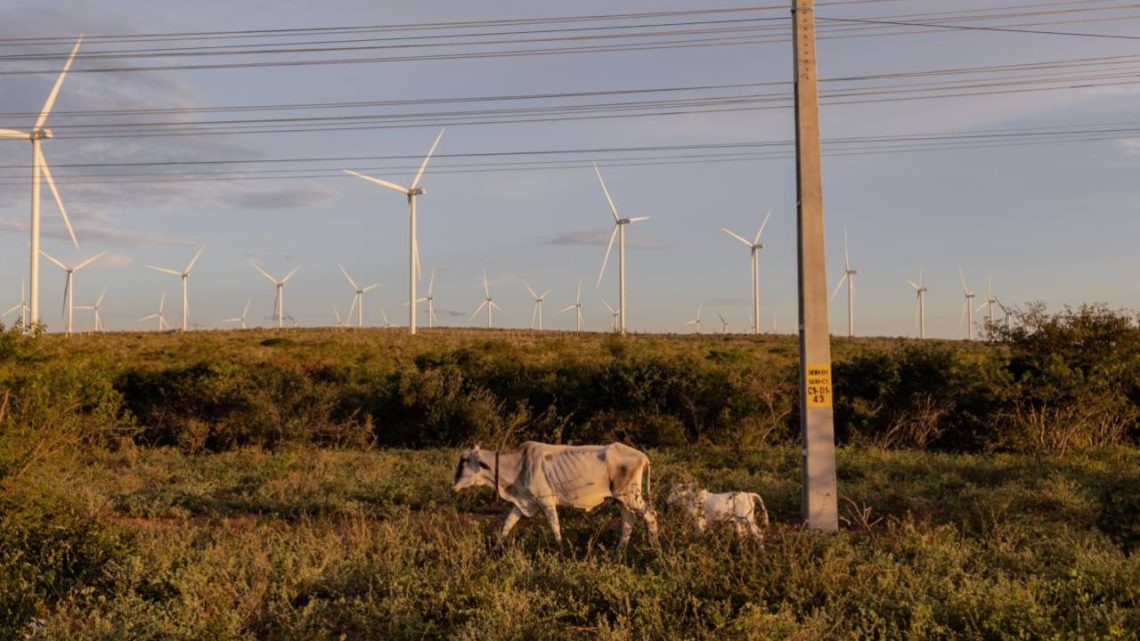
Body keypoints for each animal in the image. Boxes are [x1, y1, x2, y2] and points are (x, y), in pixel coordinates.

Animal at [446, 442, 661, 547]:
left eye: (464, 460)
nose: (452, 485)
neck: (518, 465)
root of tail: (643, 456)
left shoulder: (546, 501)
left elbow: (555, 527)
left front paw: (561, 551)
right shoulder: (522, 503)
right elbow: (507, 525)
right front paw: (495, 550)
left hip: (630, 497)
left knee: (650, 516)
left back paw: (654, 548)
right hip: (621, 500)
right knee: (628, 521)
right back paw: (620, 551)